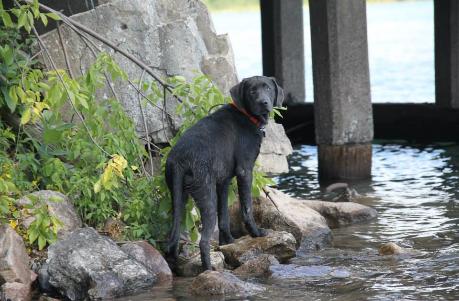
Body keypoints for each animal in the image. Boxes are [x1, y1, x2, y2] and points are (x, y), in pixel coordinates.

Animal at [165, 75, 284, 270]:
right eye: (252, 91)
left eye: (268, 88)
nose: (264, 102)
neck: (246, 115)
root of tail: (179, 159)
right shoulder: (245, 171)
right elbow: (247, 208)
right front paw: (257, 233)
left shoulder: (223, 181)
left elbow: (224, 217)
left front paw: (227, 241)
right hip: (207, 195)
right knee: (203, 241)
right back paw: (209, 270)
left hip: (179, 198)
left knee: (173, 238)